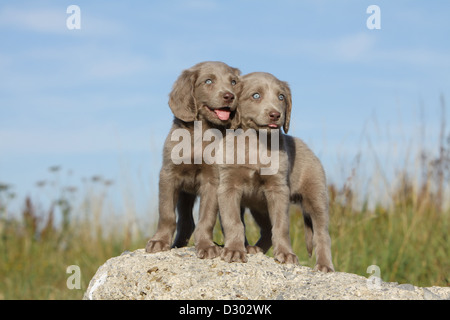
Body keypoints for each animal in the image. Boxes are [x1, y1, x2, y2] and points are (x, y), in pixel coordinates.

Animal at [218, 72, 334, 272]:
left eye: (281, 97)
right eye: (256, 95)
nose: (275, 115)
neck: (256, 143)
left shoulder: (278, 188)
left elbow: (281, 225)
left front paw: (286, 254)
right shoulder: (228, 186)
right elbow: (234, 221)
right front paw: (234, 250)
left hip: (315, 195)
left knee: (321, 233)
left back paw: (325, 265)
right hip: (259, 205)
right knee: (266, 229)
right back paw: (254, 248)